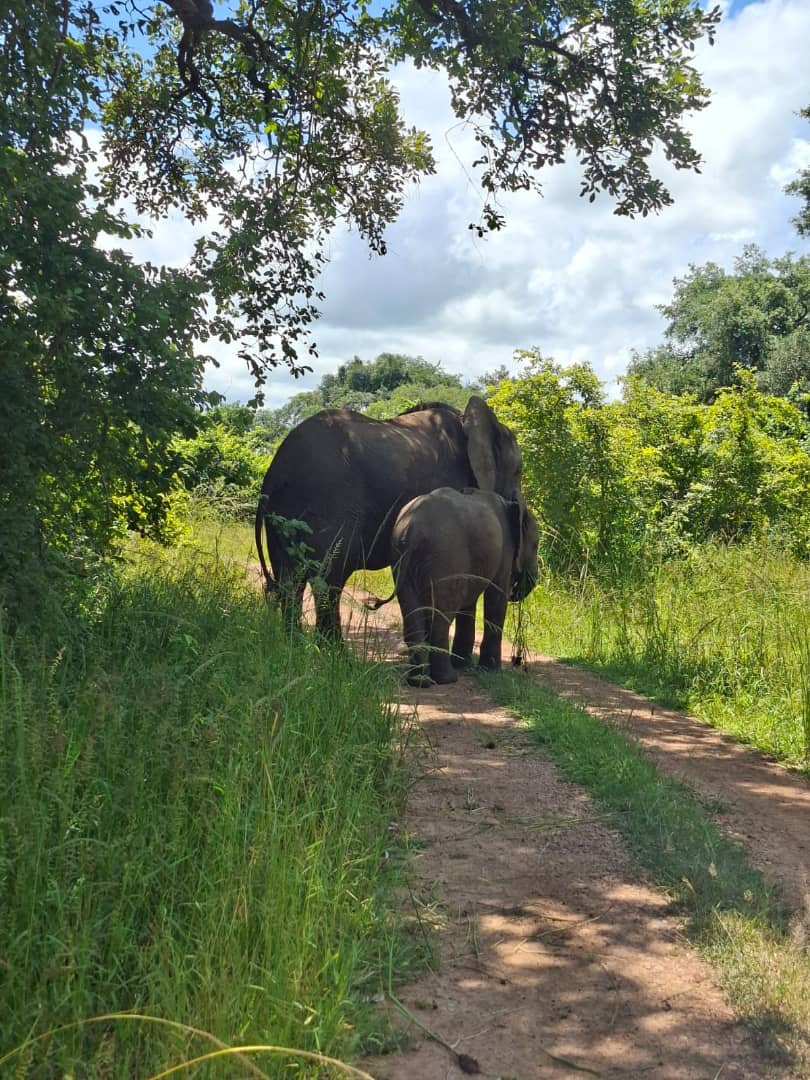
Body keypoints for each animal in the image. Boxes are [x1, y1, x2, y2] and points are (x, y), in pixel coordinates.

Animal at [254, 396, 523, 638]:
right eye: (519, 471)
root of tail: (275, 469)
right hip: (327, 499)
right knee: (328, 577)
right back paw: (335, 653)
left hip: (283, 513)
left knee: (290, 579)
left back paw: (295, 643)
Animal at [377, 487, 540, 687]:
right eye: (536, 545)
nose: (516, 592)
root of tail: (412, 531)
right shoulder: (505, 552)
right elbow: (496, 597)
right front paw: (491, 671)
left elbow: (469, 603)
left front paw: (464, 664)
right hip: (446, 557)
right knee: (443, 616)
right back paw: (446, 679)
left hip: (401, 560)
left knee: (413, 613)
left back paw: (419, 680)